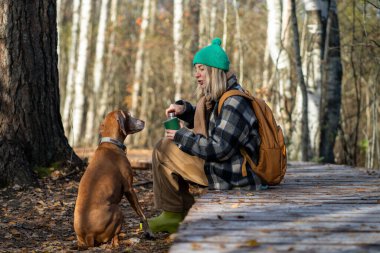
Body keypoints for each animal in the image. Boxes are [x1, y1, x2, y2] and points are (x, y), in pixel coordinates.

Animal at [73, 109, 152, 248]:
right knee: (114, 242)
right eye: (129, 115)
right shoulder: (129, 188)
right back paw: (131, 240)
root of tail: (88, 236)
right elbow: (141, 213)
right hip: (118, 210)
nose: (143, 121)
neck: (110, 143)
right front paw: (149, 232)